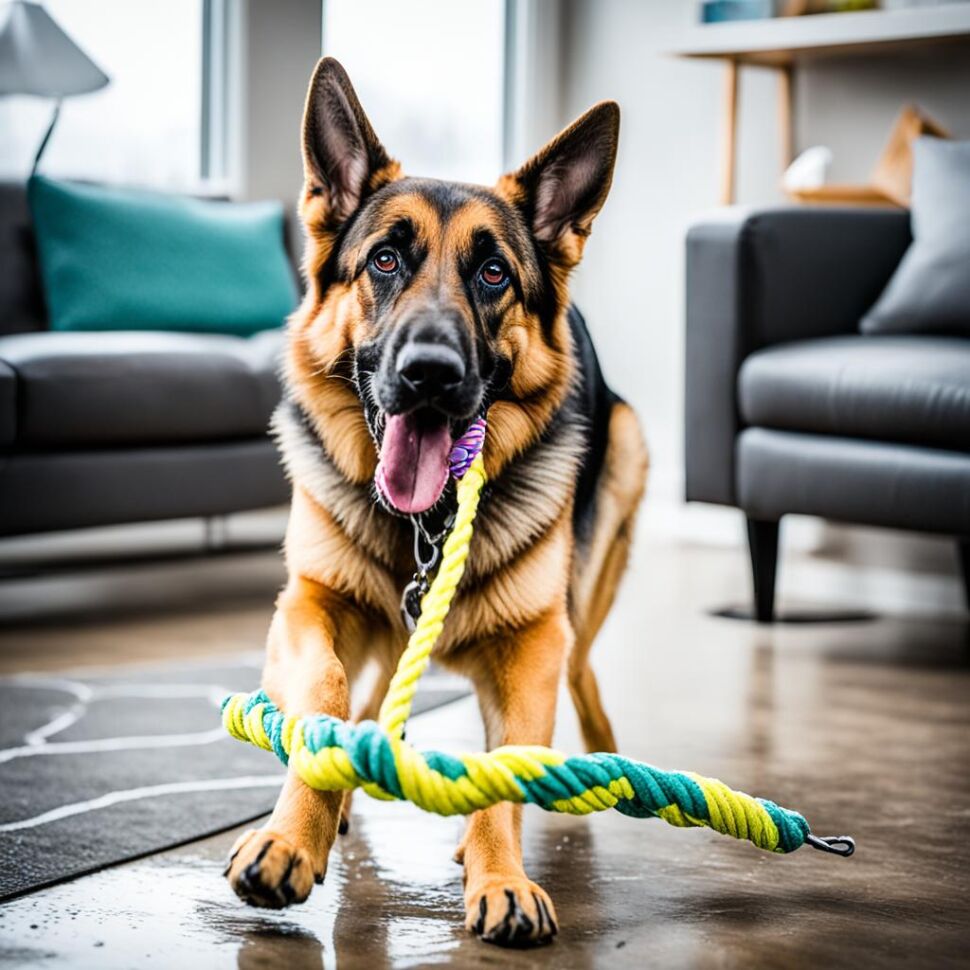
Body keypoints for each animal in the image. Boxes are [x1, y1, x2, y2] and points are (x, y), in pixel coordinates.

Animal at [226, 58, 648, 944]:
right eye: (385, 260)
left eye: (493, 274)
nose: (430, 374)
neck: (426, 524)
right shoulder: (309, 605)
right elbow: (327, 697)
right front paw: (293, 834)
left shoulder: (532, 645)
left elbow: (506, 763)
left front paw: (501, 873)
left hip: (621, 476)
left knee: (579, 669)